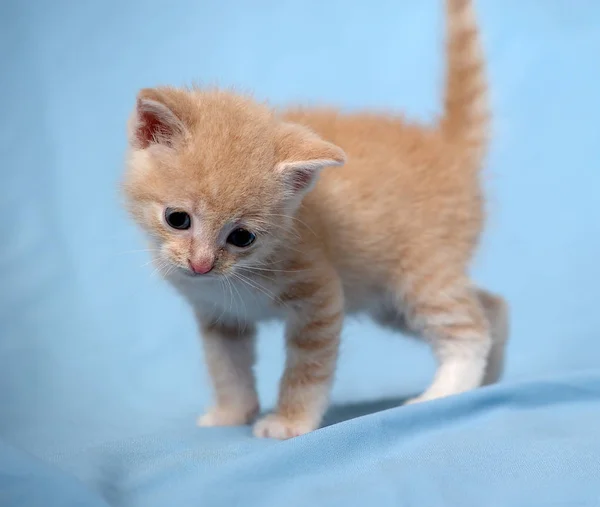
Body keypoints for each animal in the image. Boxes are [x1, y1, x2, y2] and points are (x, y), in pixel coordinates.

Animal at [122, 0, 506, 438]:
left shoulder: (320, 297)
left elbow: (308, 369)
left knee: (469, 329)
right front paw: (231, 412)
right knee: (494, 307)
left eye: (242, 237)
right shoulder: (219, 316)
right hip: (384, 296)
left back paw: (444, 394)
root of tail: (446, 147)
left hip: (419, 275)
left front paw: (289, 421)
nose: (201, 265)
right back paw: (490, 380)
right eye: (177, 218)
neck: (238, 276)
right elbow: (226, 367)